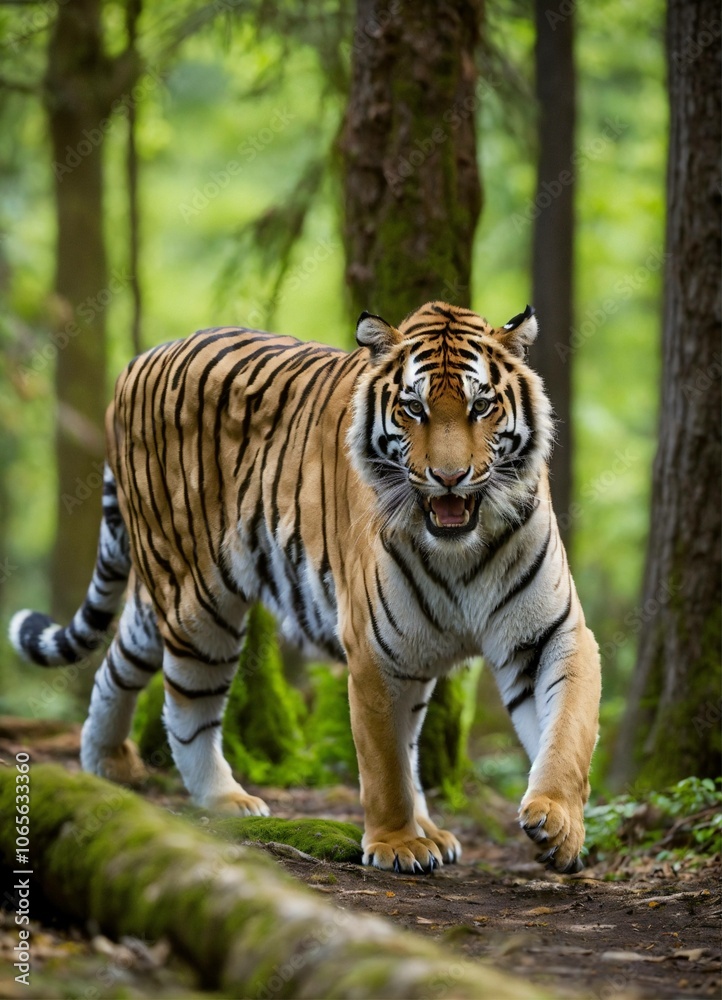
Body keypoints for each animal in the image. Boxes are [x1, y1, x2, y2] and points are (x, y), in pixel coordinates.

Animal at [10, 300, 601, 874]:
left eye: (482, 407)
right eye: (414, 408)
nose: (450, 477)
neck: (460, 549)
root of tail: (137, 363)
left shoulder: (552, 633)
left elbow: (567, 729)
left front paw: (558, 825)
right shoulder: (374, 650)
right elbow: (384, 763)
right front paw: (396, 843)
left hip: (166, 587)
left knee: (117, 663)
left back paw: (105, 763)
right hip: (196, 596)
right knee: (187, 709)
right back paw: (226, 800)